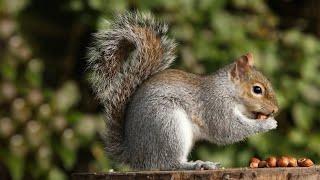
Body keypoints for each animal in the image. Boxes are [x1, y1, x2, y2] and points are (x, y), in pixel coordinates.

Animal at [87, 11, 278, 170]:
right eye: (257, 90)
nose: (275, 109)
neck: (227, 89)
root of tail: (134, 155)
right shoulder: (215, 105)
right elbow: (228, 130)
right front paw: (268, 124)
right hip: (168, 125)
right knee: (166, 164)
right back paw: (197, 164)